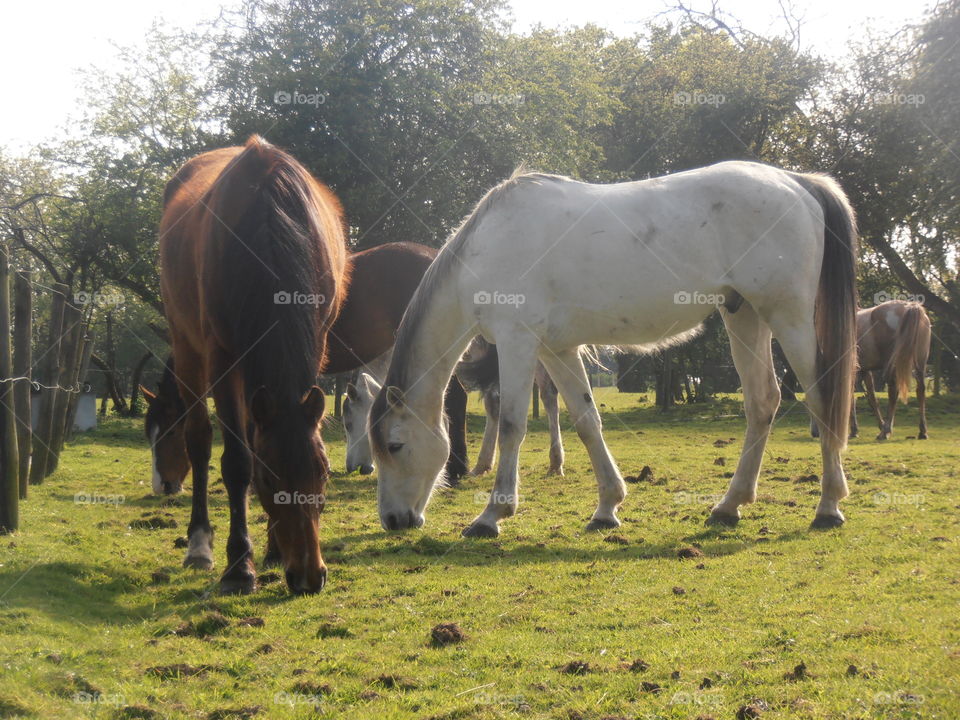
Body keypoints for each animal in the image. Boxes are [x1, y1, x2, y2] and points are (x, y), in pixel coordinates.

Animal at [160, 136, 348, 596]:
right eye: (269, 480)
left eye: (324, 474)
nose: (310, 576)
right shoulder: (222, 357)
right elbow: (237, 461)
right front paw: (239, 567)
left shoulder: (316, 340)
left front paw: (273, 551)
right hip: (188, 350)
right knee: (200, 440)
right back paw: (200, 546)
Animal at [372, 160, 860, 536]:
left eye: (394, 445)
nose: (394, 520)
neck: (487, 247)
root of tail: (796, 181)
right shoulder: (557, 350)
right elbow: (587, 422)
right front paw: (607, 507)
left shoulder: (517, 342)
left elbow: (512, 425)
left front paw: (492, 515)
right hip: (745, 316)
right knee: (763, 402)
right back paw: (729, 505)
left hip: (787, 316)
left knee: (821, 397)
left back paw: (828, 507)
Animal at [808, 300, 928, 444]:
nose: (814, 432)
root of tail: (909, 307)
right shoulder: (864, 371)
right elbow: (871, 398)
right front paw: (859, 429)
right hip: (920, 364)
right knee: (920, 390)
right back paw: (922, 431)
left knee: (893, 392)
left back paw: (885, 432)